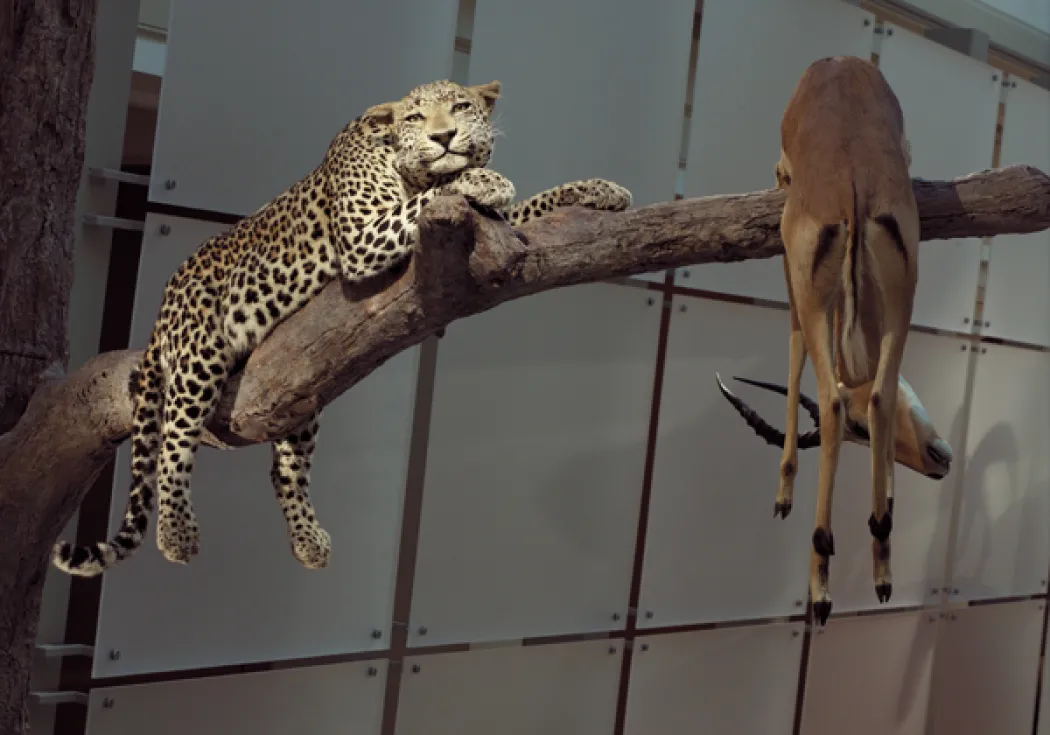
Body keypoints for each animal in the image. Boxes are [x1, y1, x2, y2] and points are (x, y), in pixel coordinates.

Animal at [51, 77, 630, 575]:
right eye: (417, 117)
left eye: (461, 107)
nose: (444, 136)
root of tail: (163, 308)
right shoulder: (362, 235)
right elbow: (426, 202)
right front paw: (486, 179)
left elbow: (533, 204)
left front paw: (601, 188)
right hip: (199, 354)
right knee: (175, 435)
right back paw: (175, 532)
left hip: (297, 384)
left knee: (283, 467)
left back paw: (308, 541)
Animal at [722, 55, 961, 625]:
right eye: (860, 436)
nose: (939, 456)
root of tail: (854, 188)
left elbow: (792, 351)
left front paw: (784, 493)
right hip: (903, 294)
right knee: (876, 392)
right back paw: (882, 569)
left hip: (811, 288)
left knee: (826, 392)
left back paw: (821, 586)